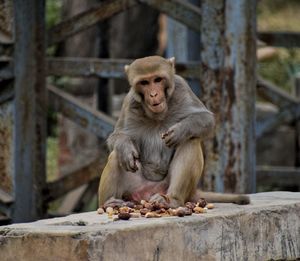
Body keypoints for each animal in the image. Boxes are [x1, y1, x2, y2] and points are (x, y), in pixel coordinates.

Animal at [97, 55, 250, 207]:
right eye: (144, 82)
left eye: (158, 79)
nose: (153, 94)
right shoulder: (130, 101)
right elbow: (117, 136)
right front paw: (126, 148)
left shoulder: (182, 87)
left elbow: (207, 119)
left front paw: (180, 131)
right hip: (135, 188)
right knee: (115, 156)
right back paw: (109, 202)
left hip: (169, 187)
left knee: (190, 141)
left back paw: (172, 200)